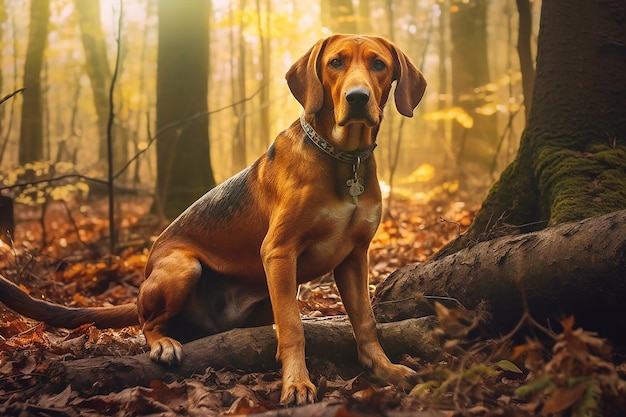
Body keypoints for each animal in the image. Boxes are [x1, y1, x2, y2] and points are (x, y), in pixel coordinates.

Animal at [0, 34, 424, 404]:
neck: (343, 158)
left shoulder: (355, 256)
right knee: (147, 323)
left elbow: (365, 323)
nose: (357, 98)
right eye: (335, 62)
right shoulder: (279, 252)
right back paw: (163, 344)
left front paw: (385, 370)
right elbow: (293, 328)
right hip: (183, 267)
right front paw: (296, 383)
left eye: (378, 64)